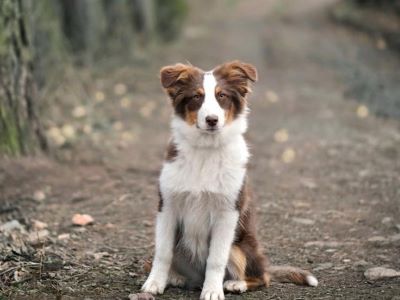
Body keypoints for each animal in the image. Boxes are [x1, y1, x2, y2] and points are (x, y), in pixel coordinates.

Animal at [141, 59, 318, 298]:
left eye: (222, 95)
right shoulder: (167, 206)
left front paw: (212, 291)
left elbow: (216, 259)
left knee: (263, 277)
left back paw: (236, 284)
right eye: (196, 97)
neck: (206, 150)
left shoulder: (227, 213)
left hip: (241, 247)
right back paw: (176, 278)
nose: (212, 120)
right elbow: (162, 252)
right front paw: (155, 283)